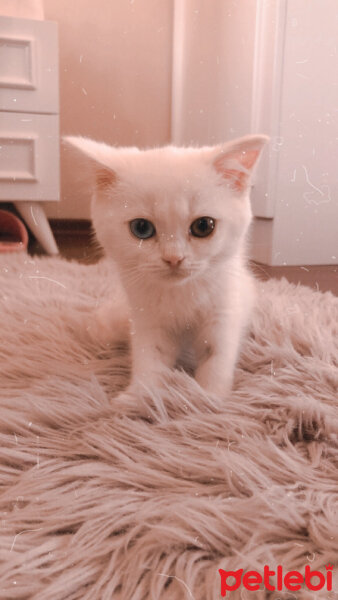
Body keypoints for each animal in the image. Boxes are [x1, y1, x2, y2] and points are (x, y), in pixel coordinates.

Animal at [66, 137, 270, 398]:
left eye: (204, 226)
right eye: (141, 228)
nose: (174, 258)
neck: (179, 294)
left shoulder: (223, 310)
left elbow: (217, 356)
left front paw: (210, 397)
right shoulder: (146, 317)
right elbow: (149, 356)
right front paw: (139, 395)